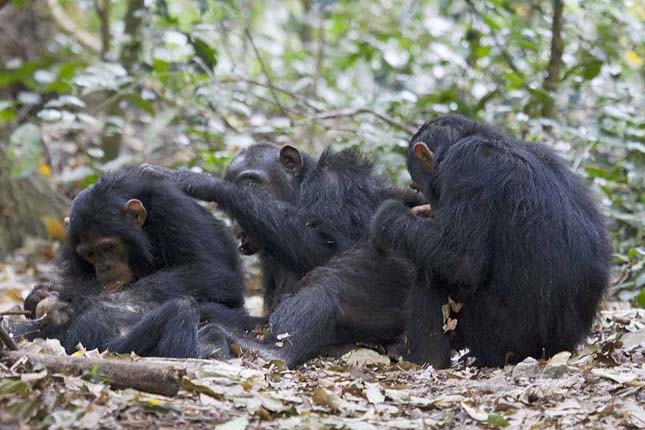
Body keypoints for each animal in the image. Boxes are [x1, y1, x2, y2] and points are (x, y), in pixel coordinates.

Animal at [145, 145, 426, 366]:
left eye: (250, 182)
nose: (236, 226)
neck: (300, 190)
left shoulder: (336, 187)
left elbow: (331, 246)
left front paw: (203, 183)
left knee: (328, 281)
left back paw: (272, 352)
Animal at [368, 115, 608, 370]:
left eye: (416, 185)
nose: (431, 204)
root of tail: (557, 349)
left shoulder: (464, 165)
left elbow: (460, 258)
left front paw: (388, 216)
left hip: (504, 341)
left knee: (433, 274)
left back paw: (423, 359)